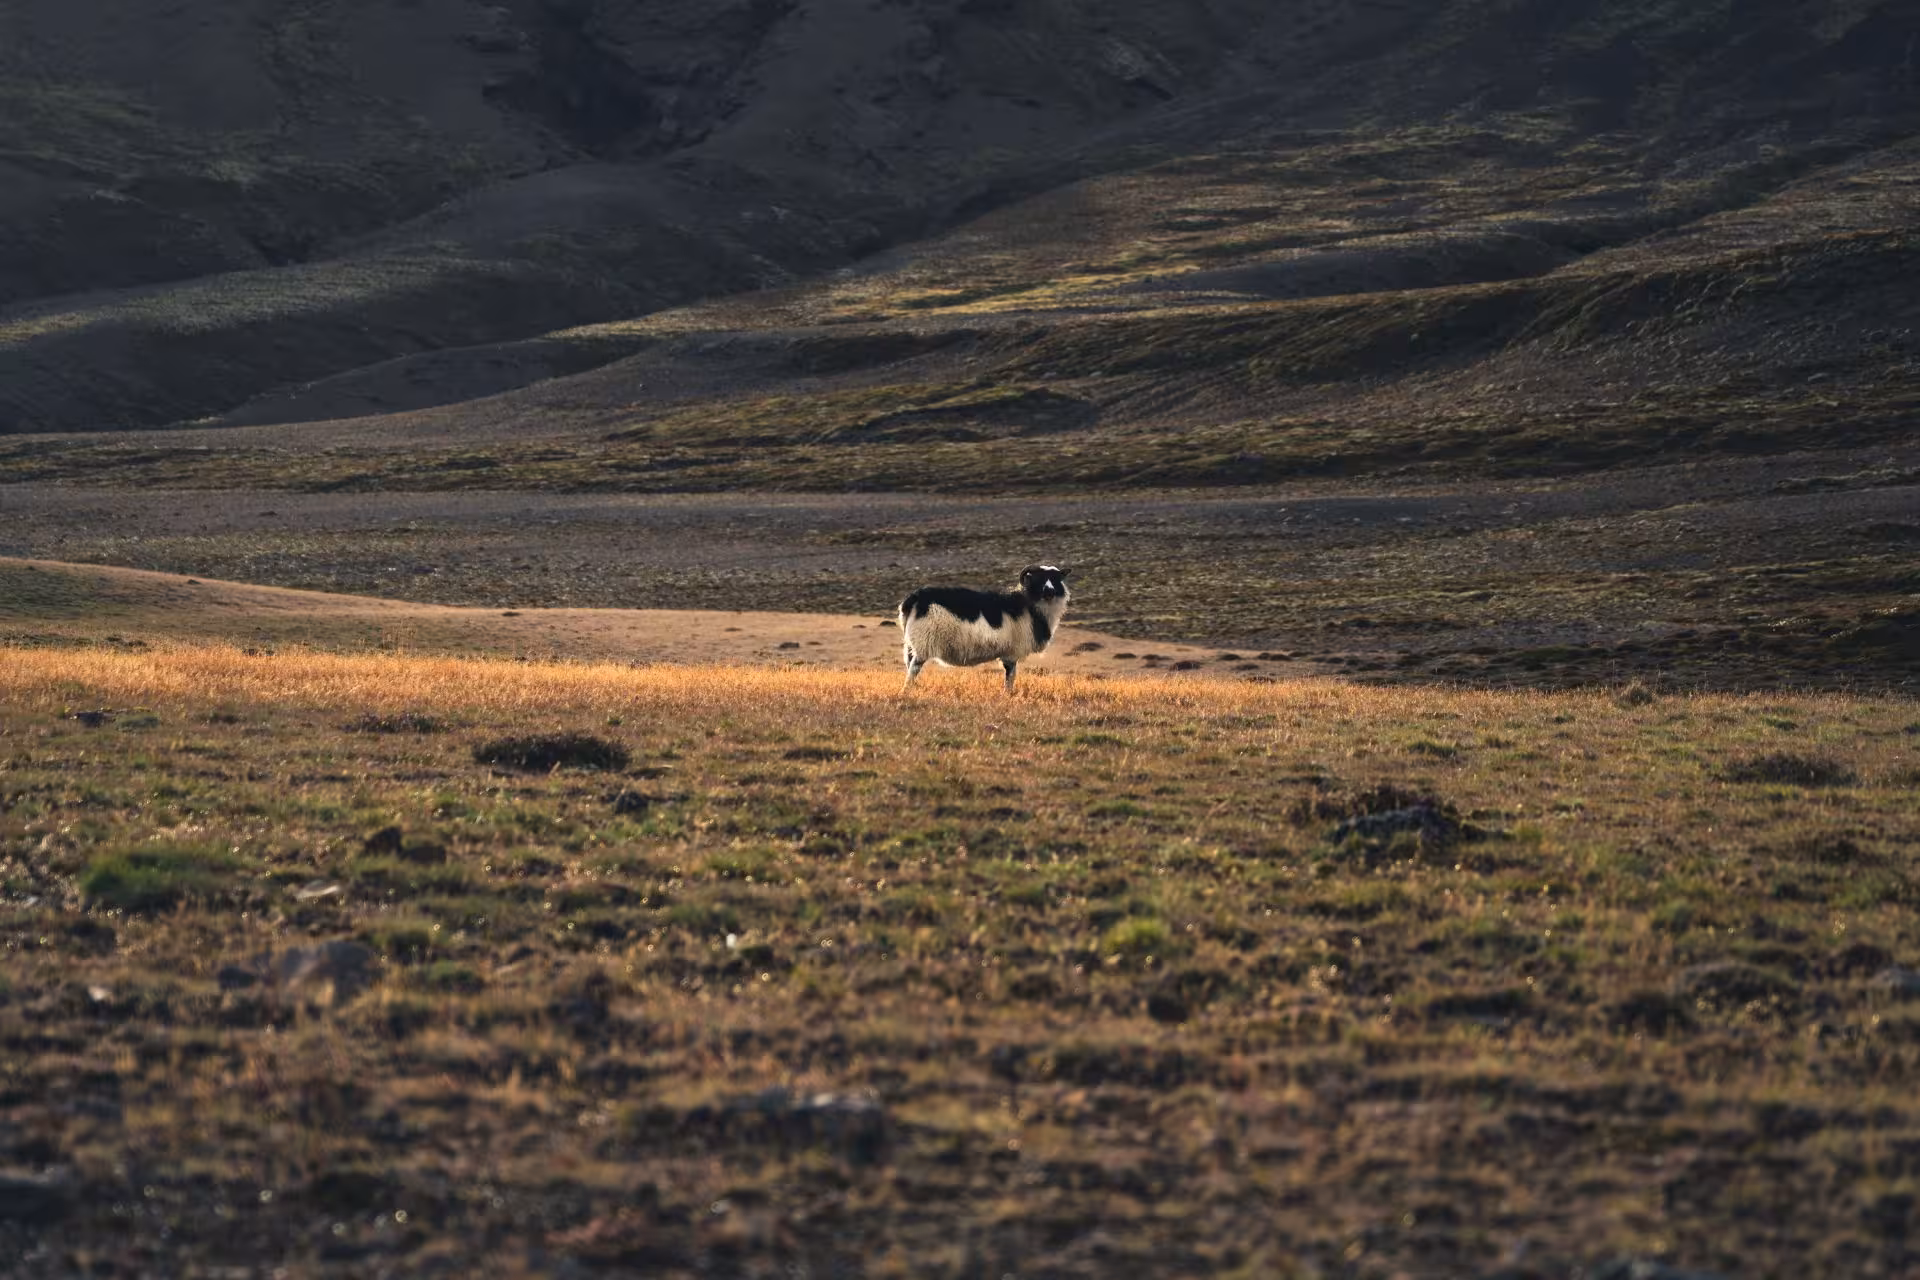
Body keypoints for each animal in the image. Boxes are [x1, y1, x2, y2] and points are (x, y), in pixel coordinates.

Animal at [898, 565, 1070, 692]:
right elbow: (1010, 676)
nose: (1050, 591)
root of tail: (914, 599)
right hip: (924, 641)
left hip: (912, 642)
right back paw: (906, 691)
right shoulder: (1012, 652)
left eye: (1056, 579)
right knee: (914, 669)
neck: (1029, 605)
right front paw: (1007, 694)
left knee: (909, 664)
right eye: (1038, 578)